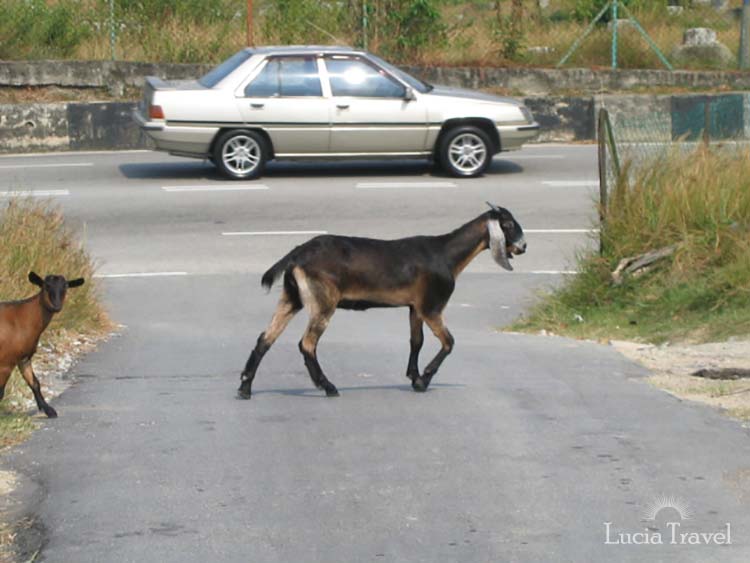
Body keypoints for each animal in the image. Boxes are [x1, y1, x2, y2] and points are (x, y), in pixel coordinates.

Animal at [0, 274, 85, 418]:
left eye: (65, 286)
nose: (56, 306)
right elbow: (0, 392)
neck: (21, 319)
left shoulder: (24, 358)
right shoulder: (6, 362)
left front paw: (49, 410)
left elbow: (35, 383)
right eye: (46, 286)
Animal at [241, 205, 528, 398]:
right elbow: (449, 342)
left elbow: (416, 341)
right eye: (509, 225)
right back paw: (328, 387)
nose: (523, 247)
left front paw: (413, 377)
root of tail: (297, 254)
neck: (446, 254)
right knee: (307, 343)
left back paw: (245, 387)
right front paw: (423, 380)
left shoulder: (415, 307)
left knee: (266, 338)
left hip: (292, 297)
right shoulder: (432, 306)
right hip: (323, 301)